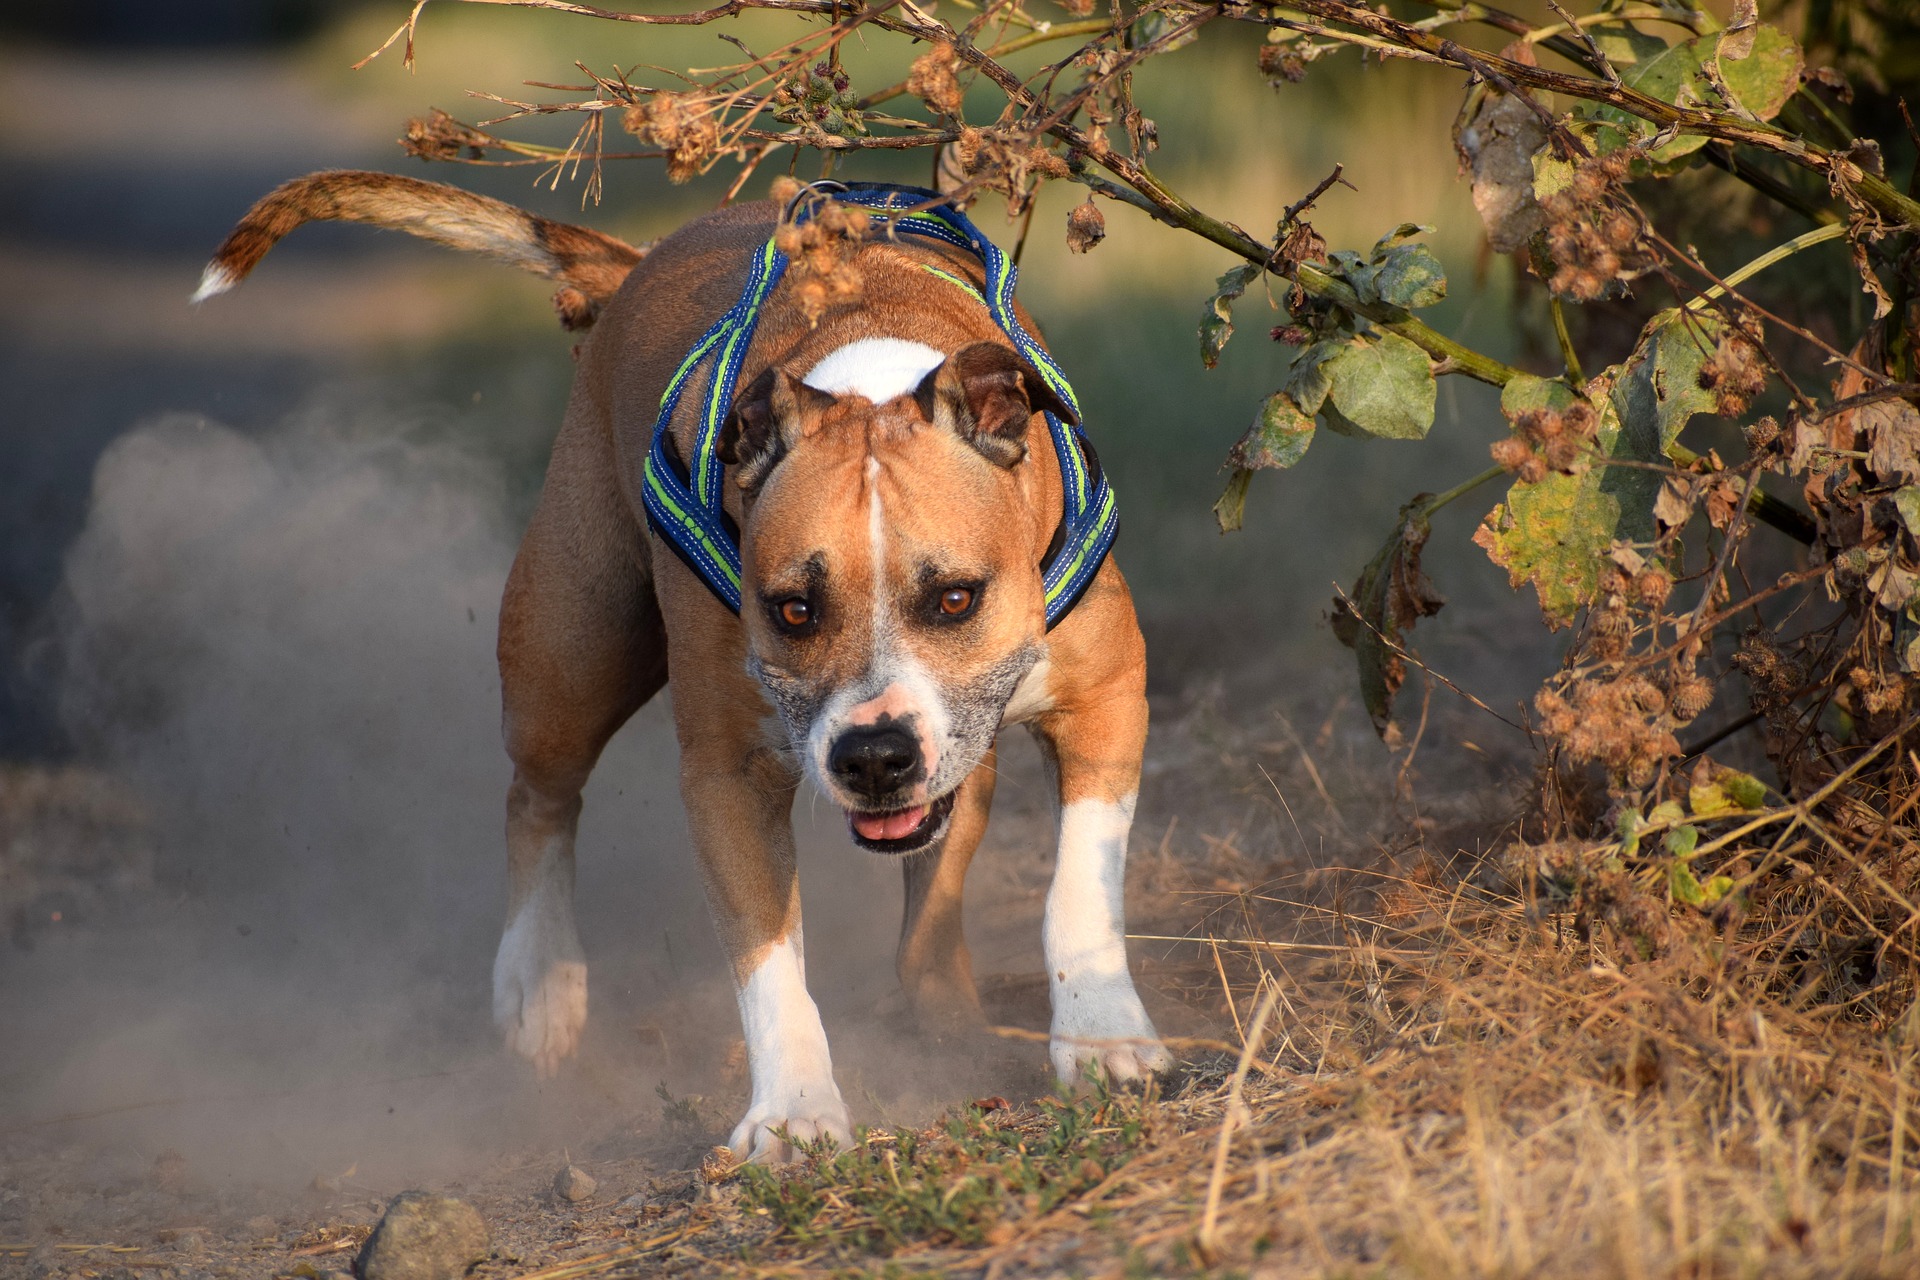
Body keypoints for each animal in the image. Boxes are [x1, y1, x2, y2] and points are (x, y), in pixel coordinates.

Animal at [198, 172, 1167, 1159]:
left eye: (957, 599)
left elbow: (1079, 889)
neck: (866, 369)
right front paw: (793, 1111)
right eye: (792, 610)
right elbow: (767, 959)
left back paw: (946, 1017)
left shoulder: (1107, 697)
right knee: (538, 796)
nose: (873, 757)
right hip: (570, 656)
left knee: (934, 892)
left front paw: (1102, 1039)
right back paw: (541, 981)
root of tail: (639, 262)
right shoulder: (727, 775)